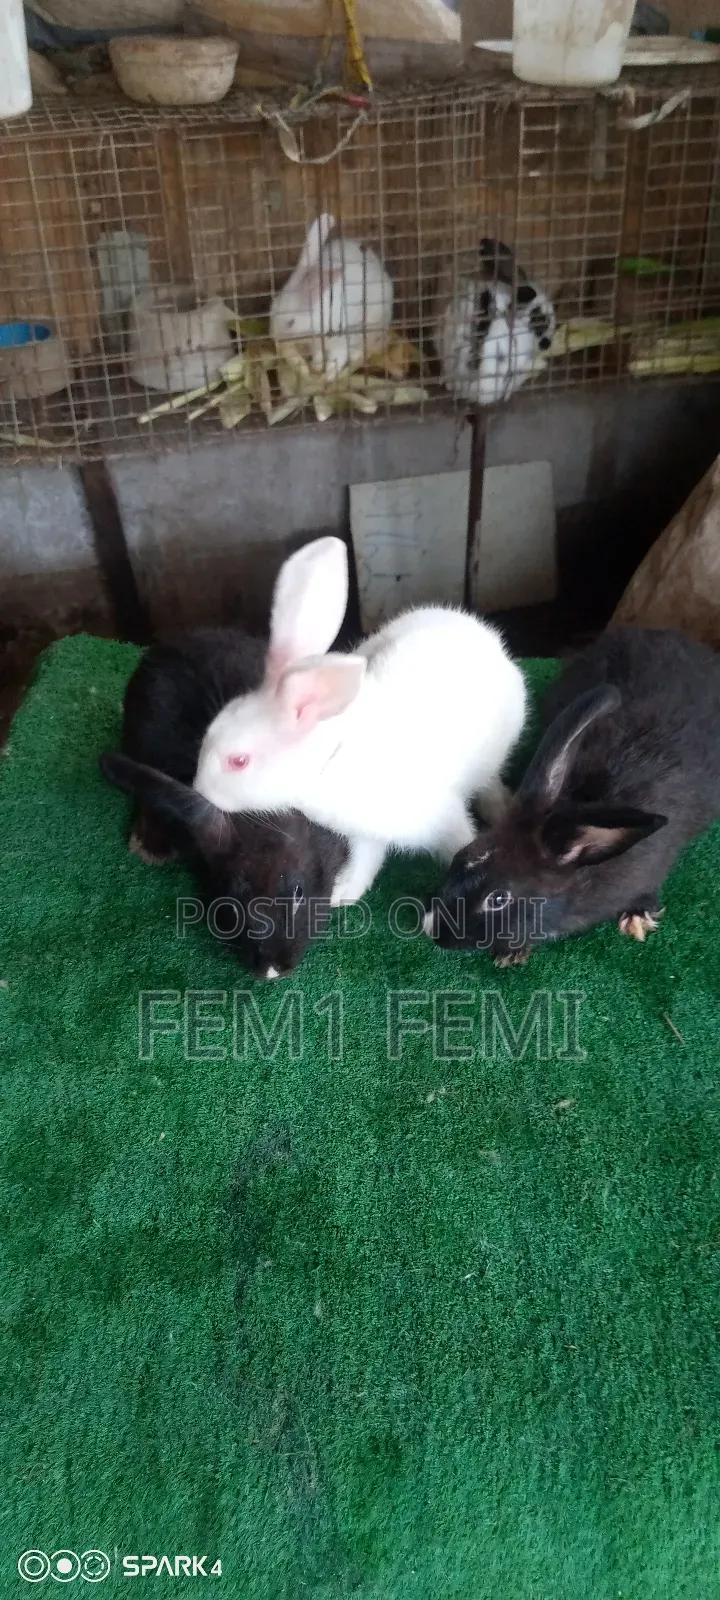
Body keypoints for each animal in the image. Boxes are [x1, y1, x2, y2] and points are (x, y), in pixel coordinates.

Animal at [193, 536, 527, 907]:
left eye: (238, 761)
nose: (199, 790)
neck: (328, 759)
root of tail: (486, 637)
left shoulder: (442, 818)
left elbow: (461, 848)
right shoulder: (365, 833)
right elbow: (367, 859)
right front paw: (344, 892)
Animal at [270, 213, 394, 383]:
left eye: (291, 322)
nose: (274, 338)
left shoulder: (342, 340)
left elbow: (337, 358)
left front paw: (328, 376)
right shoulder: (317, 345)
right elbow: (319, 355)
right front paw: (316, 366)